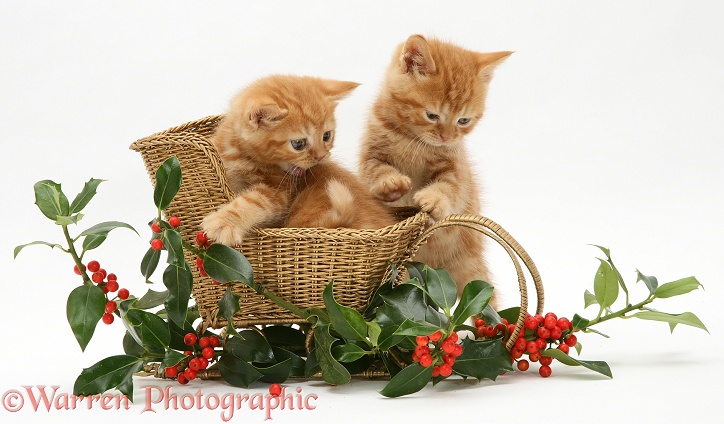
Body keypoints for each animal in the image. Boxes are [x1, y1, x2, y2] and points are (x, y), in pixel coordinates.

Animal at [202, 74, 396, 243]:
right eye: (298, 144)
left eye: (326, 136)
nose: (321, 156)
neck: (242, 156)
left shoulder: (279, 195)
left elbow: (255, 201)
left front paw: (224, 222)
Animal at [360, 34, 510, 296]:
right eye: (432, 115)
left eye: (463, 120)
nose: (447, 137)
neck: (411, 139)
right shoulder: (370, 154)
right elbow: (375, 171)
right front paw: (391, 184)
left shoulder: (455, 168)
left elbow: (450, 187)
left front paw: (433, 199)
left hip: (469, 265)